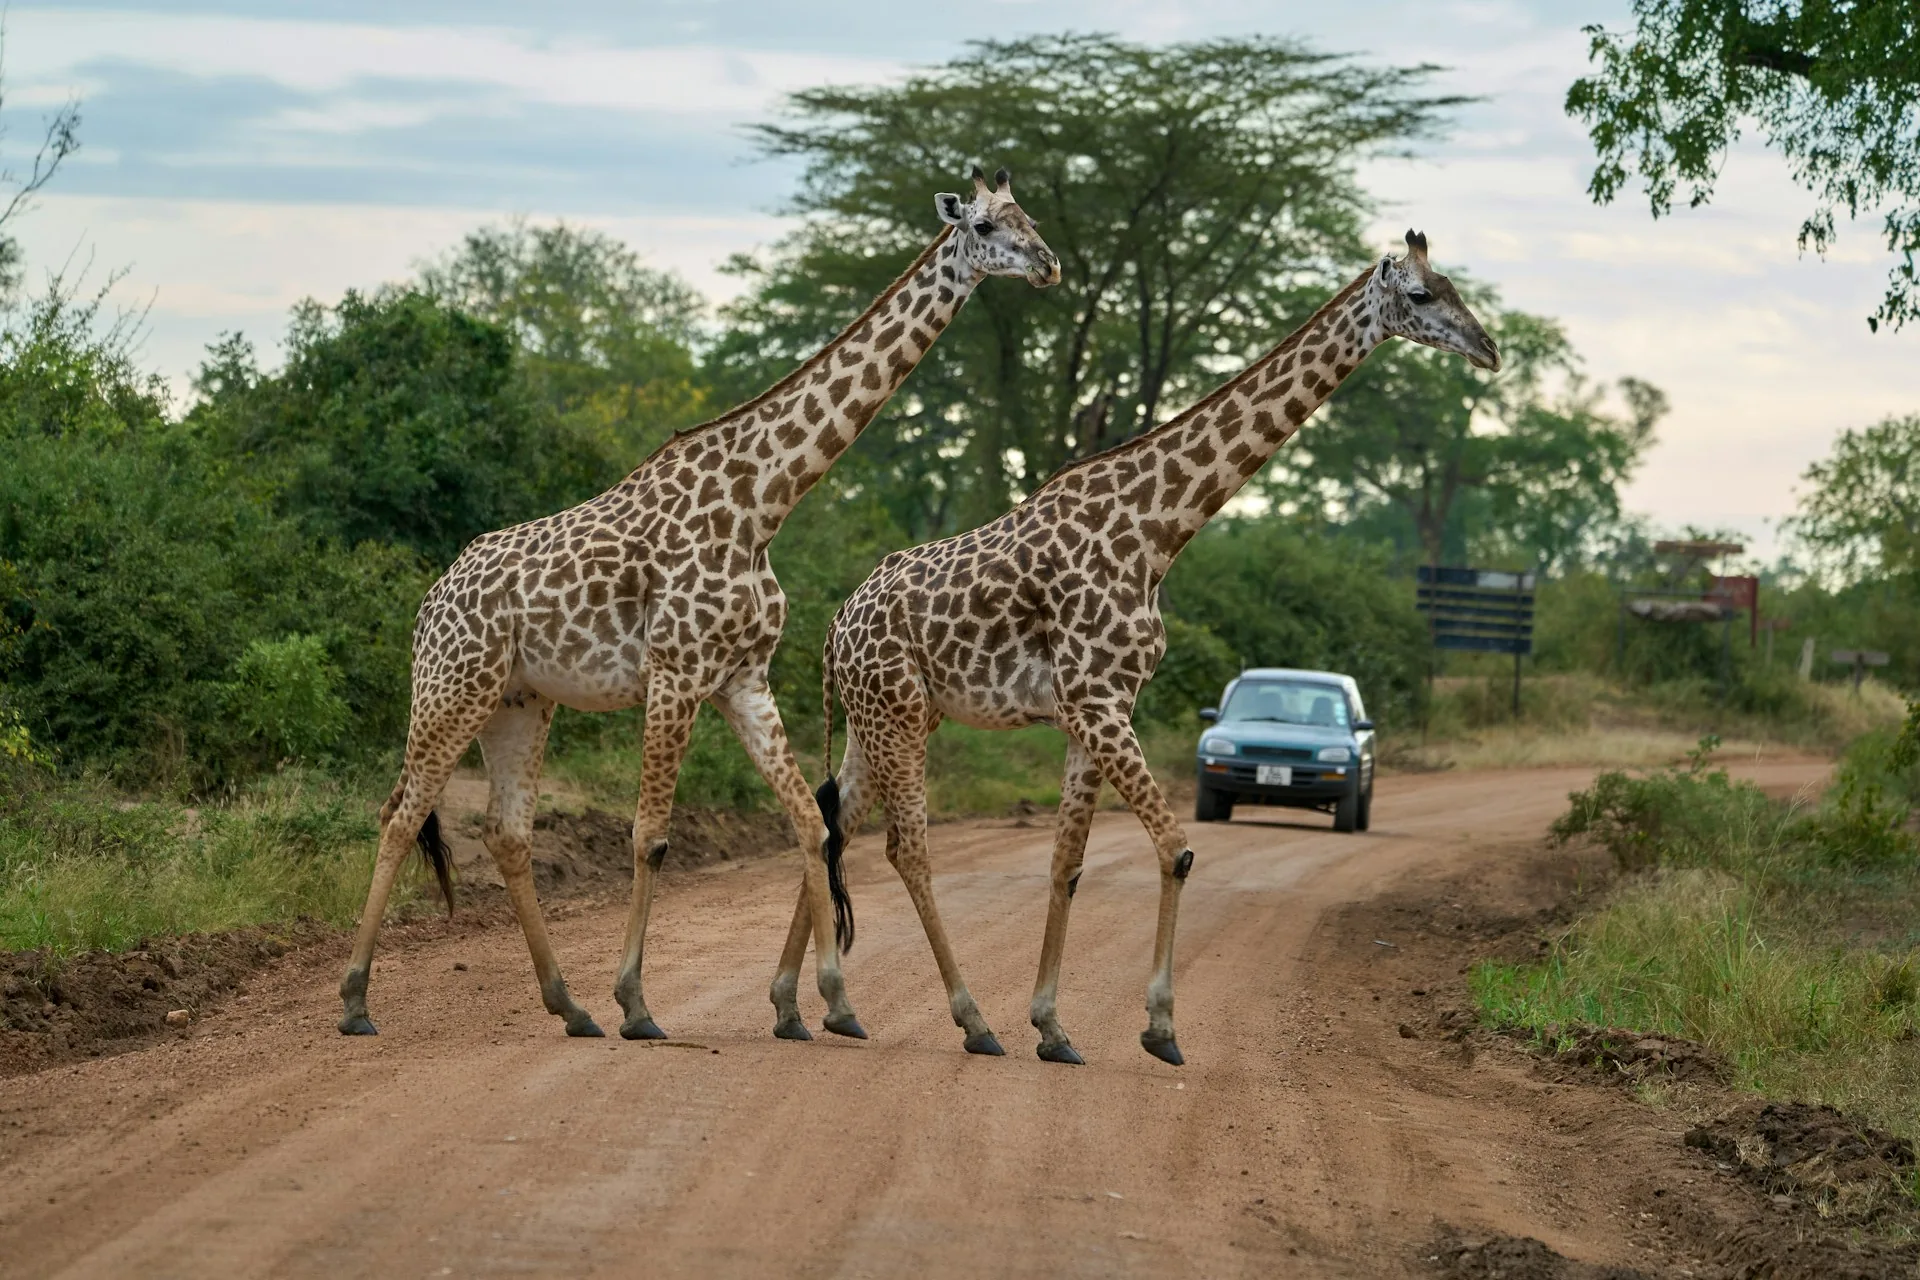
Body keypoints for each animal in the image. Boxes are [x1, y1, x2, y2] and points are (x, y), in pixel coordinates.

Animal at [338, 167, 1059, 1042]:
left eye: (1030, 216)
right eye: (985, 225)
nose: (1049, 265)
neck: (764, 502)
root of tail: (428, 601)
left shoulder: (742, 678)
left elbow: (810, 823)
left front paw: (827, 1005)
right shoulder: (676, 672)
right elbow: (650, 836)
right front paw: (638, 1004)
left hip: (520, 700)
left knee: (505, 833)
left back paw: (569, 1006)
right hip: (453, 687)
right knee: (399, 813)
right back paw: (356, 1001)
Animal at [811, 231, 1497, 1065]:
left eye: (1455, 285)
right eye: (1423, 296)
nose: (1490, 348)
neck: (1159, 530)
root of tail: (835, 627)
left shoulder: (1094, 708)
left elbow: (1068, 863)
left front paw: (1053, 1027)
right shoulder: (1098, 700)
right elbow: (1177, 847)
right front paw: (1161, 1028)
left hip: (881, 714)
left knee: (833, 824)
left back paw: (815, 1007)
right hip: (899, 713)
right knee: (904, 848)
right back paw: (969, 1021)